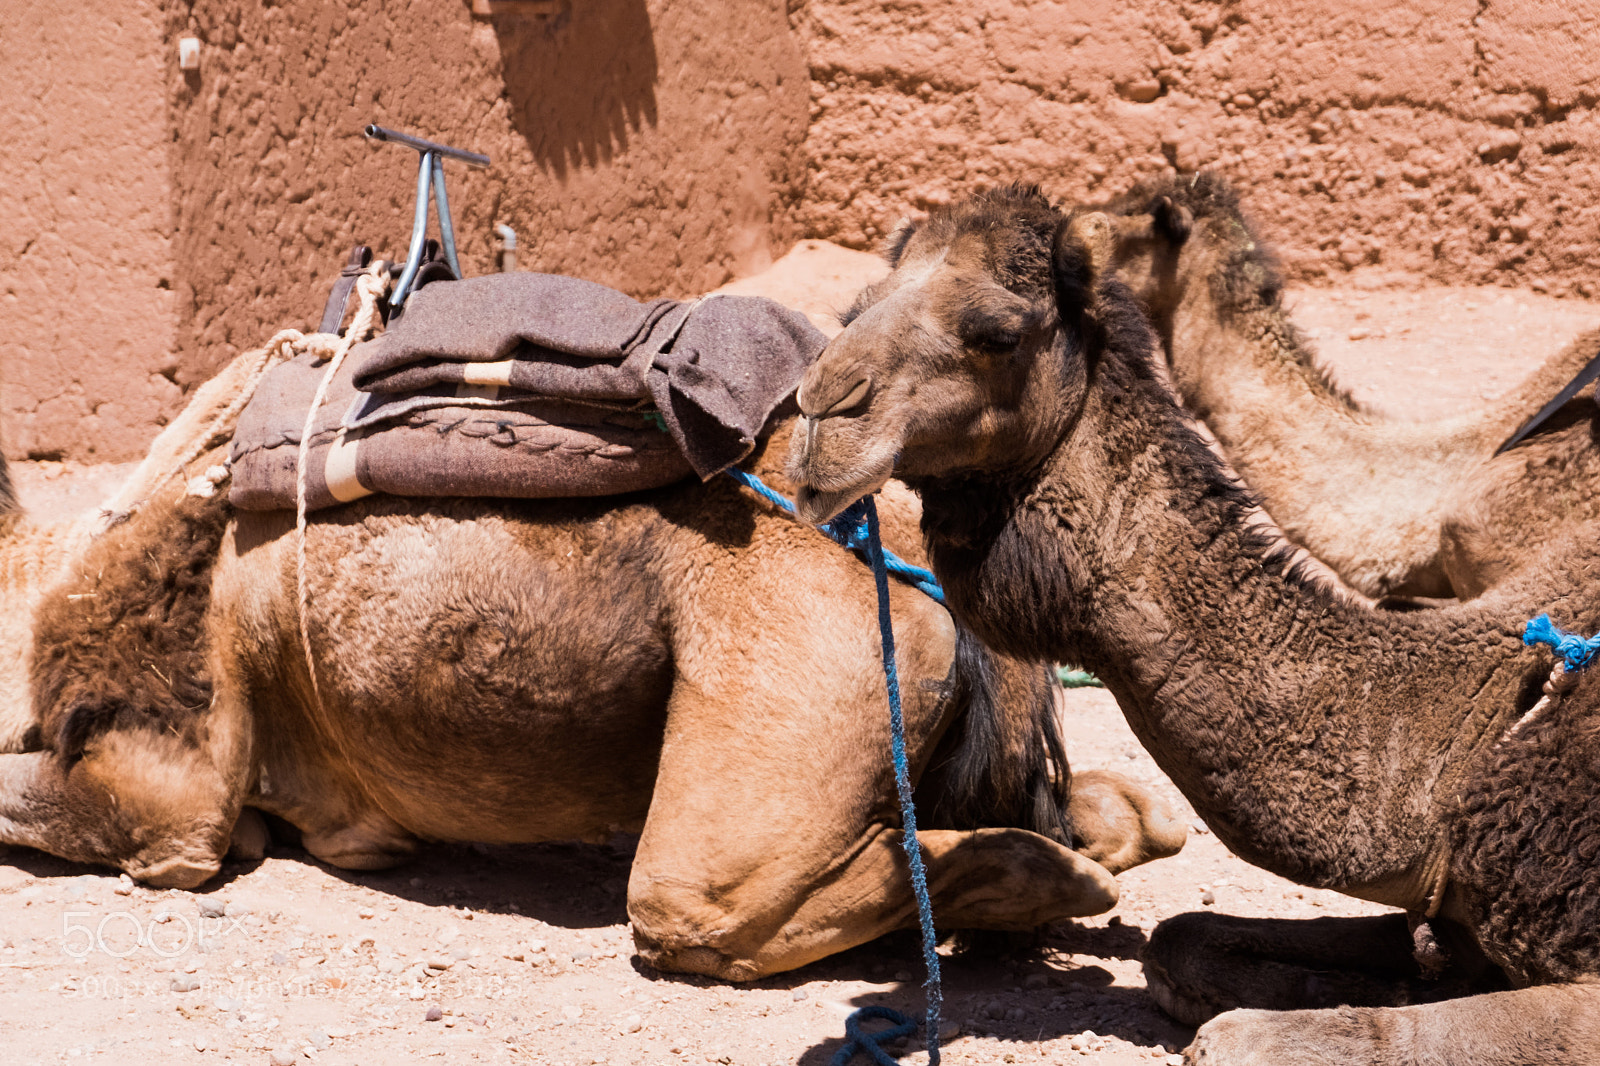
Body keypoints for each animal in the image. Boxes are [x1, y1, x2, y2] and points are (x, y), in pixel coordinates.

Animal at [0, 340, 1186, 982]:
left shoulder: (171, 784)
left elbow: (118, 823)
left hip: (784, 672)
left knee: (699, 897)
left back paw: (1047, 886)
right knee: (1131, 812)